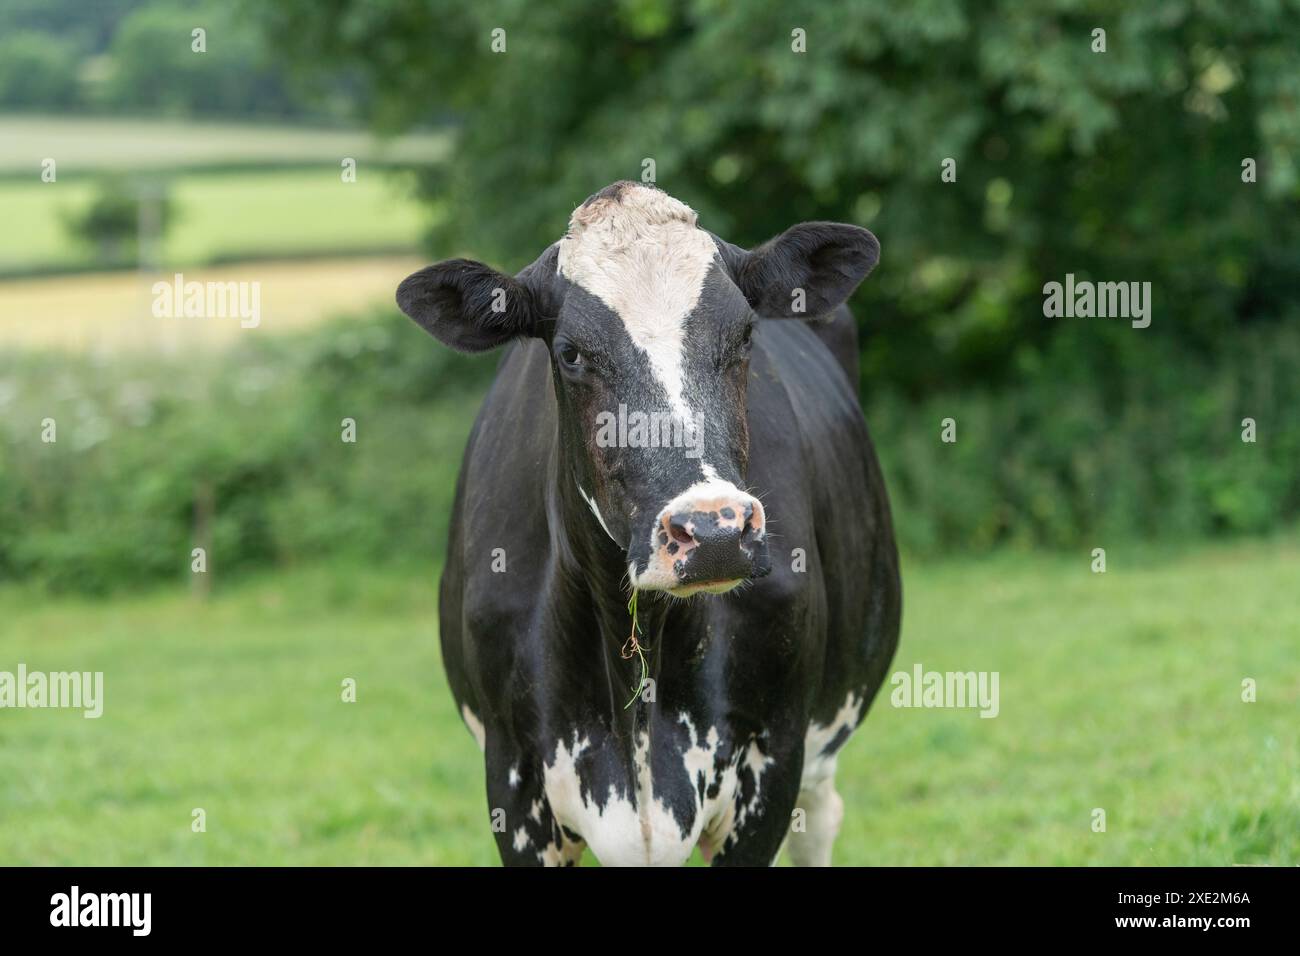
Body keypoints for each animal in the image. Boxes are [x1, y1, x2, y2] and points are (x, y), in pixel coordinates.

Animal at [397, 181, 901, 866]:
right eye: (572, 353)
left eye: (746, 334)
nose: (714, 533)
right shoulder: (513, 781)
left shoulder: (773, 762)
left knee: (820, 821)